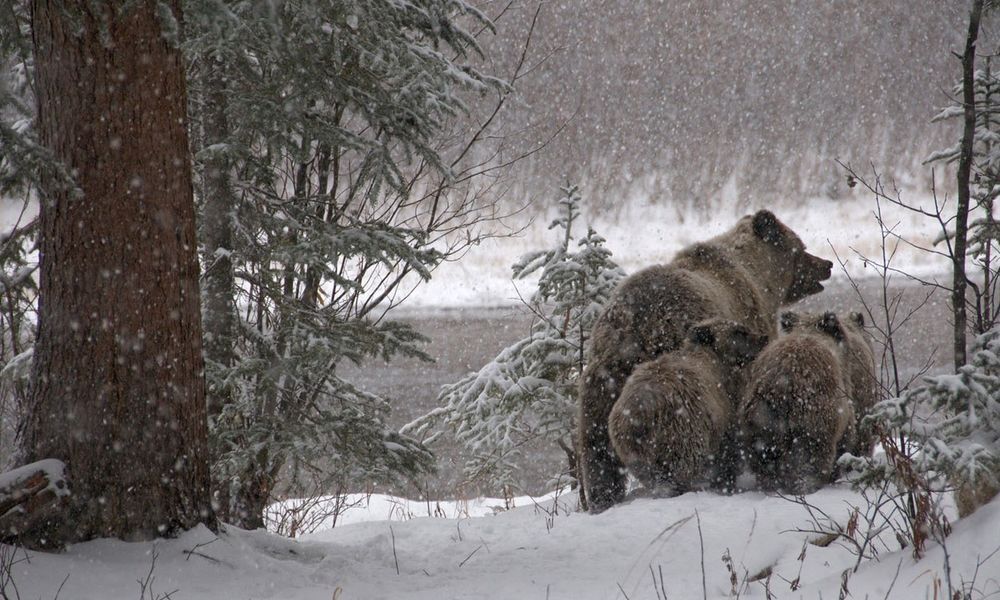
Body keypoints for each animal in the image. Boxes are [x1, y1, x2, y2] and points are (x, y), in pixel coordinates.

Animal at [604, 318, 768, 496]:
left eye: (742, 327)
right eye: (738, 331)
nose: (764, 337)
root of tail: (640, 409)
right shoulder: (721, 419)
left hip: (632, 450)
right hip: (681, 433)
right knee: (679, 471)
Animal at [744, 310, 876, 492]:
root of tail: (781, 383)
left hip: (761, 417)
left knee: (763, 456)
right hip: (812, 416)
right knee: (812, 454)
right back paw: (808, 482)